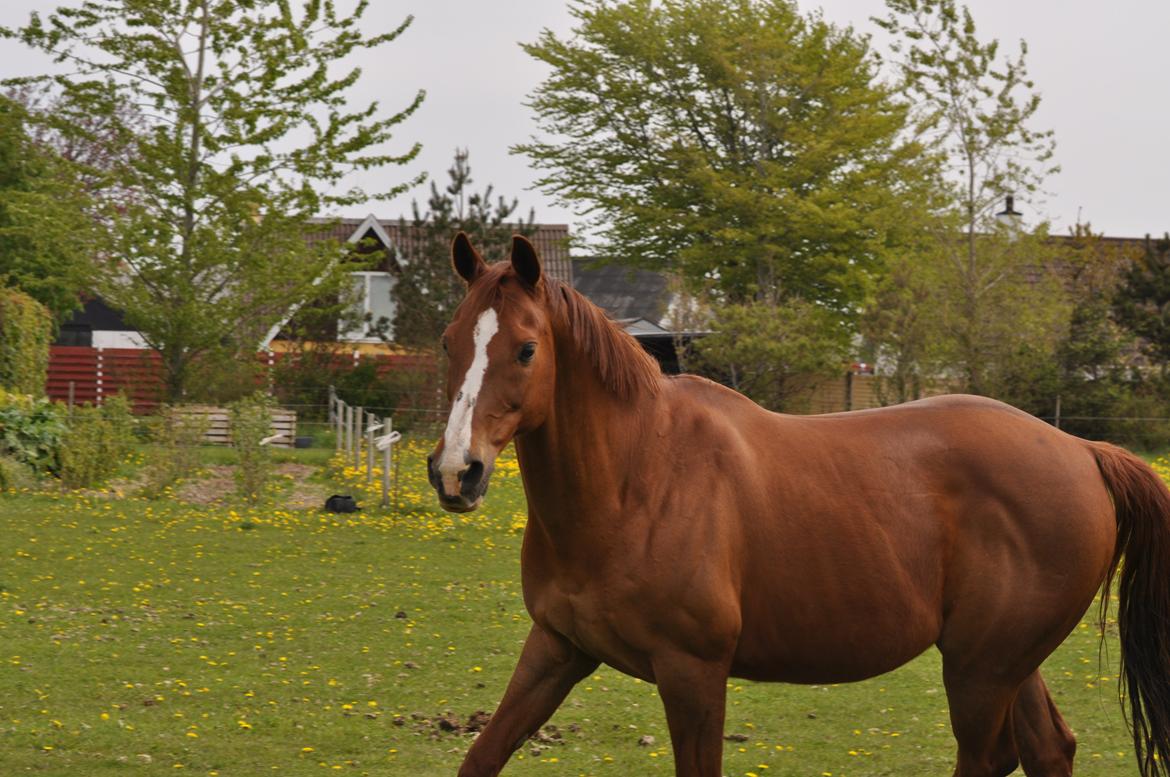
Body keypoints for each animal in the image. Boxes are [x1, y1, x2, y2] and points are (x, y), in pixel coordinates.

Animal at [428, 231, 1170, 777]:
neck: (636, 478)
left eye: (526, 348)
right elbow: (482, 756)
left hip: (981, 670)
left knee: (990, 757)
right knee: (1047, 749)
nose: (456, 471)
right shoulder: (557, 649)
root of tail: (1083, 451)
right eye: (449, 340)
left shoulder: (693, 673)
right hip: (1004, 661)